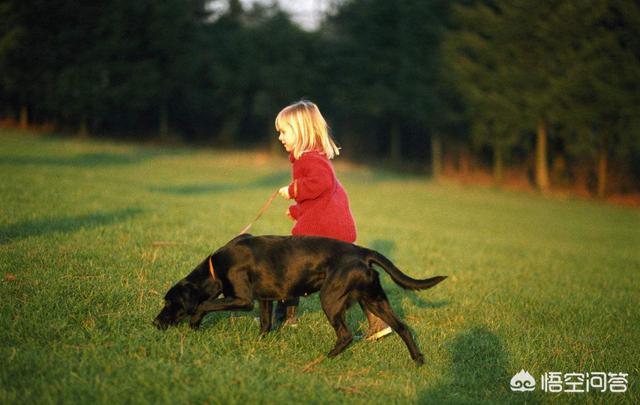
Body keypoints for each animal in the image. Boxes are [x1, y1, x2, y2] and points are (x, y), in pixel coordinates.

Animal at [154, 234, 444, 362]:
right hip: (374, 299)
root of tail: (363, 253)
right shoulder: (265, 299)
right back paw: (418, 359)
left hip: (331, 298)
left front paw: (194, 322)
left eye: (170, 303)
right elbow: (265, 324)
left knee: (346, 335)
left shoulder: (244, 300)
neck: (215, 267)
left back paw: (328, 357)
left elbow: (204, 303)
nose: (155, 323)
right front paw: (259, 343)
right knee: (402, 327)